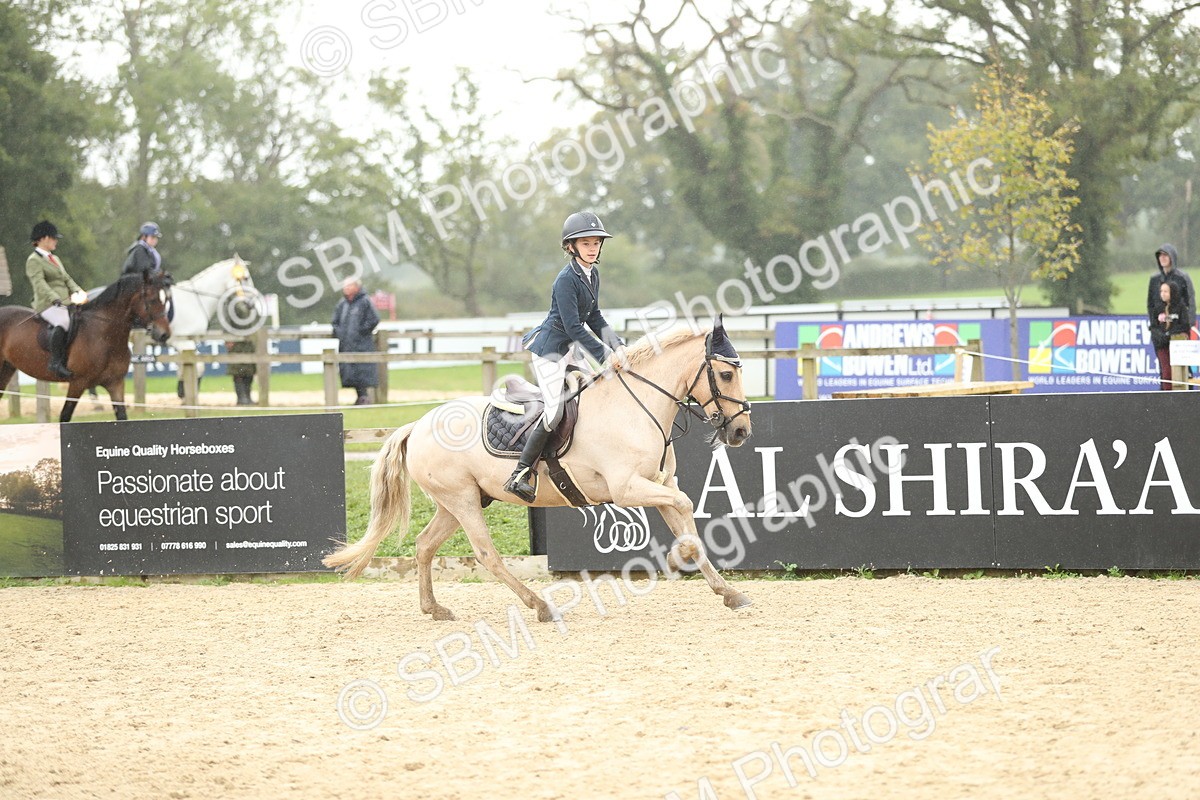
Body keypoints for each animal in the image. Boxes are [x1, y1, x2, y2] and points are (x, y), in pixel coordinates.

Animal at [0, 270, 173, 422]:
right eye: (152, 300)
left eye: (165, 300)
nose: (164, 334)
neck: (104, 335)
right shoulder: (78, 383)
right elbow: (65, 415)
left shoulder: (115, 383)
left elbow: (122, 416)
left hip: (7, 369)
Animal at [324, 320, 755, 622]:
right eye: (726, 374)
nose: (740, 432)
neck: (636, 406)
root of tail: (418, 424)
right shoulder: (628, 488)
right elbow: (684, 507)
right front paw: (676, 563)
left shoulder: (658, 483)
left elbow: (686, 520)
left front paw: (727, 592)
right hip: (462, 500)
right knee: (487, 554)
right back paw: (541, 607)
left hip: (454, 502)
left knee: (424, 545)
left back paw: (434, 608)